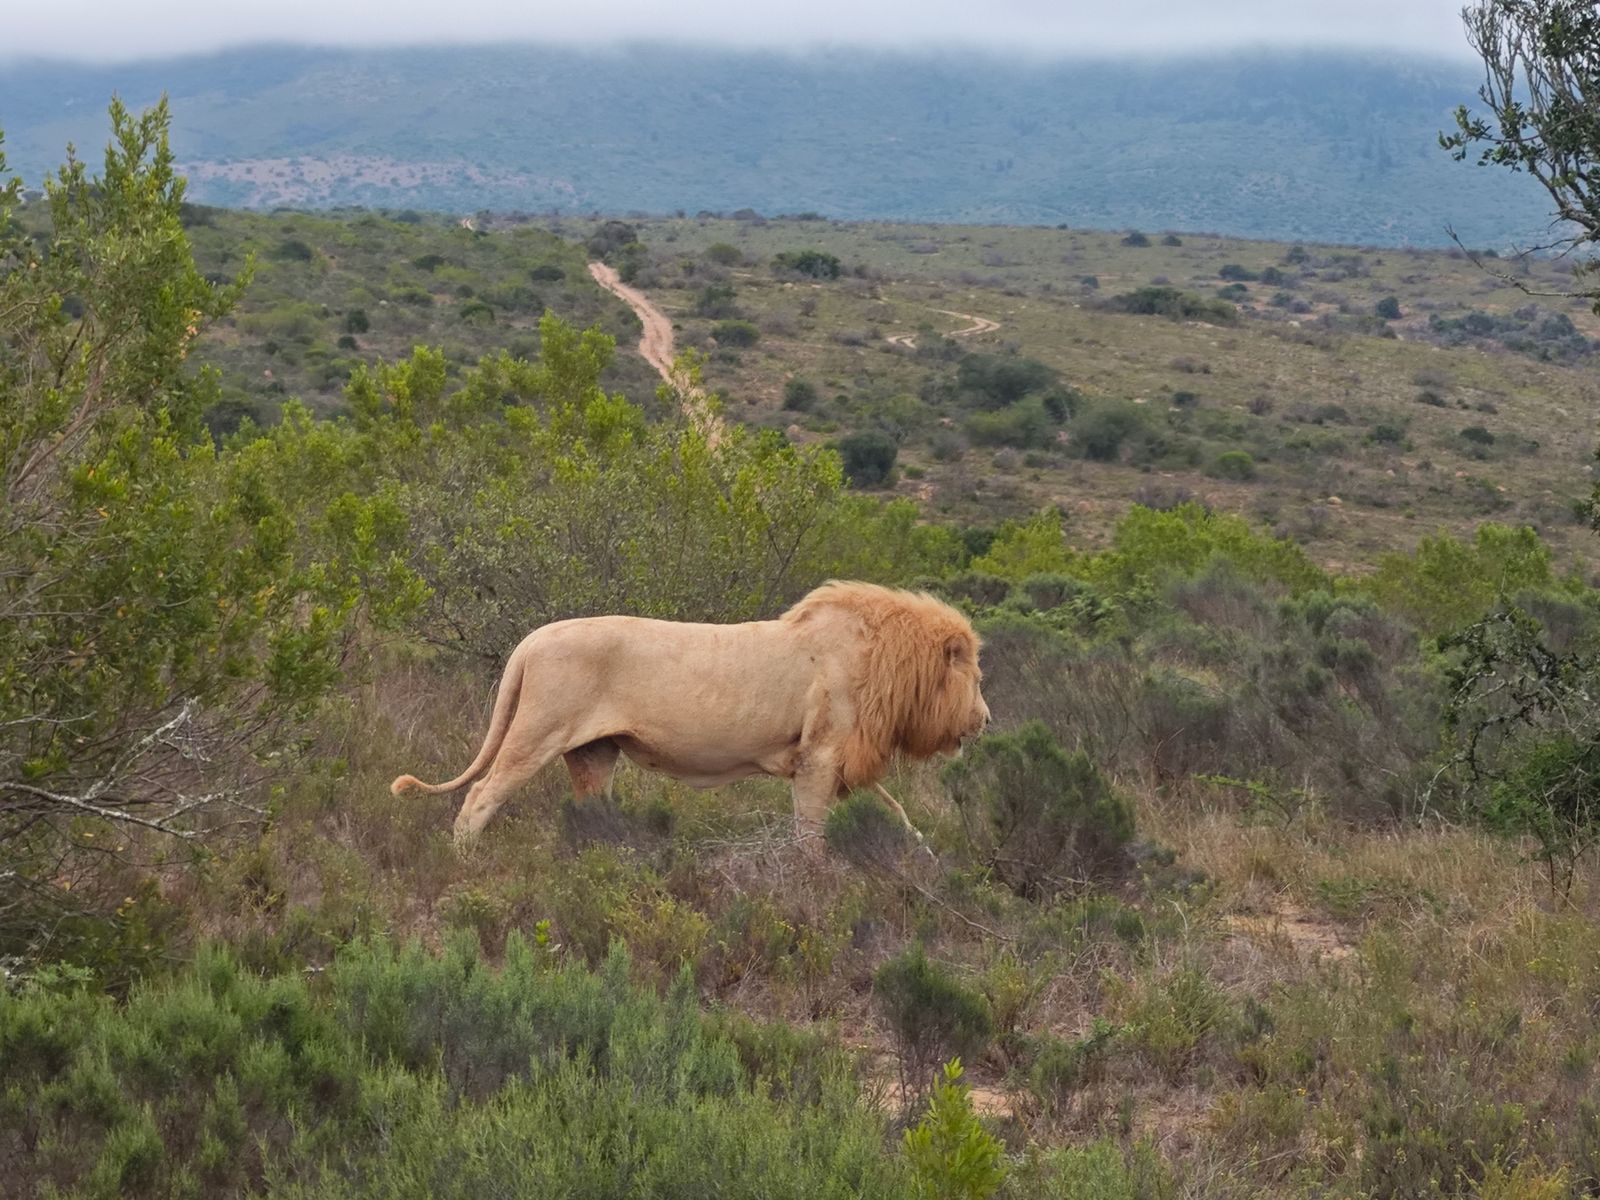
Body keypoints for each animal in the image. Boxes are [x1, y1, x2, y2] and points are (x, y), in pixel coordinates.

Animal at [391, 581, 990, 847]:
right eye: (978, 679)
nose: (986, 719)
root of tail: (532, 639)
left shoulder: (843, 759)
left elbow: (896, 809)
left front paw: (920, 850)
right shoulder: (818, 758)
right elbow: (810, 834)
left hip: (593, 754)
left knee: (588, 811)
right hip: (536, 734)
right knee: (479, 795)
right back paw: (466, 862)